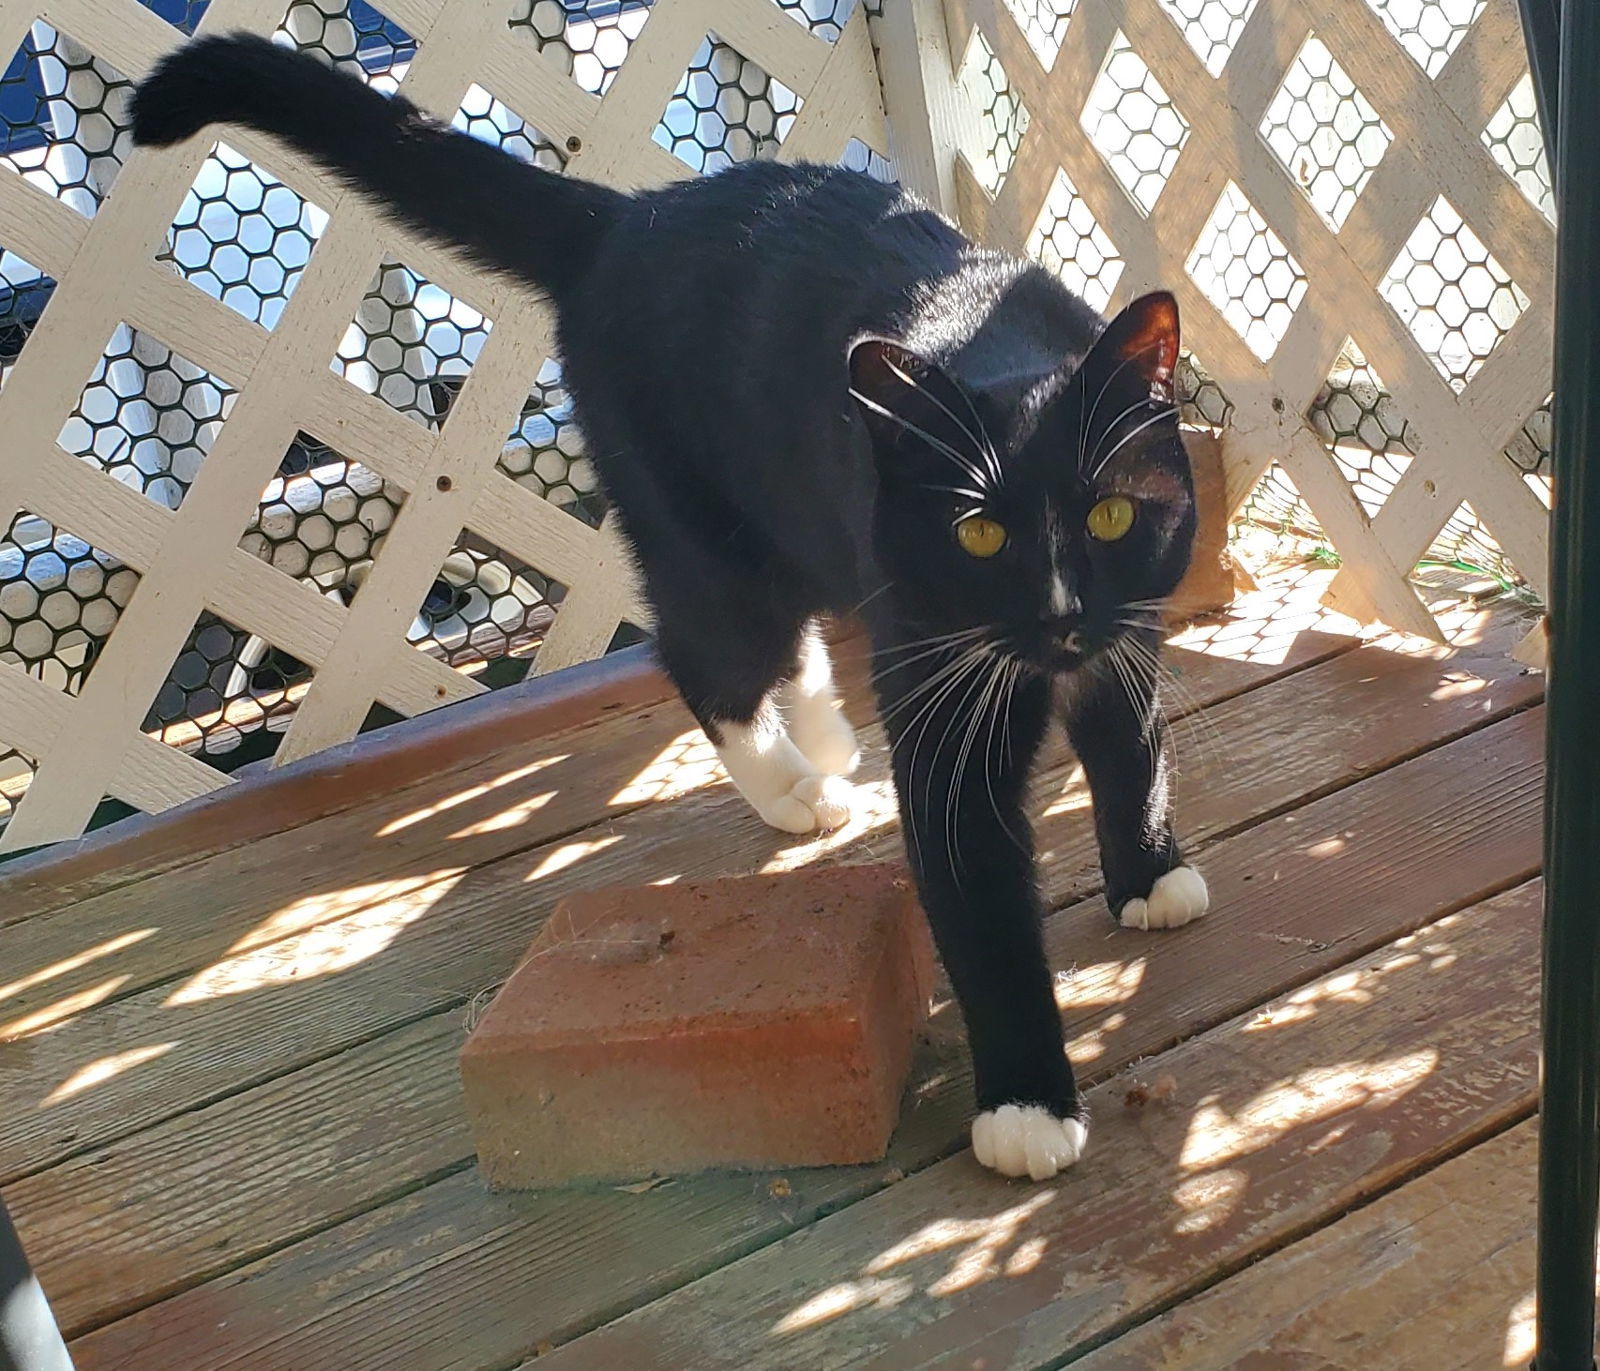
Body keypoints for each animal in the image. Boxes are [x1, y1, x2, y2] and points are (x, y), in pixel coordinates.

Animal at [134, 37, 1209, 1183]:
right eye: (979, 537)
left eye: (1108, 514)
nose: (1060, 616)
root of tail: (623, 217)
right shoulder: (942, 673)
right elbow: (979, 896)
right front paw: (1024, 1106)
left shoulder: (1123, 632)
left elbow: (1130, 747)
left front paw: (1149, 874)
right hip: (696, 528)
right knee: (706, 654)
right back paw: (791, 787)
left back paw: (826, 739)